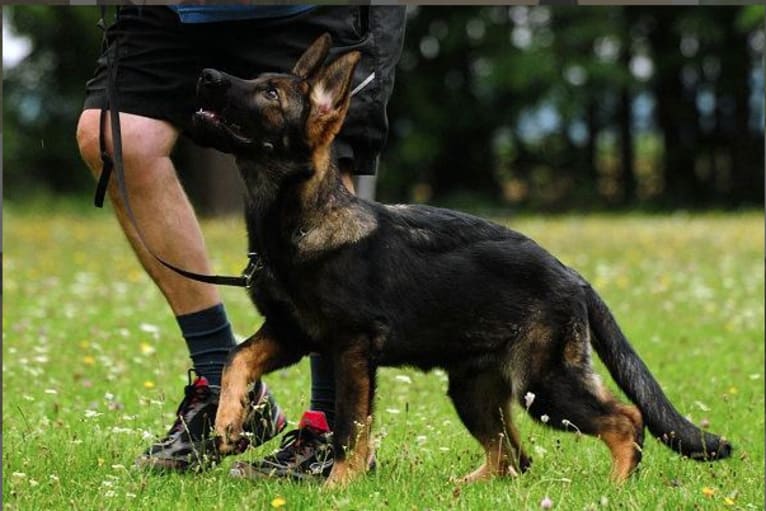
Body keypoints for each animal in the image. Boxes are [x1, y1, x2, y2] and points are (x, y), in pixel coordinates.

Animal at [192, 34, 732, 490]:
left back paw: (617, 487)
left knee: (625, 420)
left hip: (545, 386)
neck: (299, 221)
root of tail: (572, 276)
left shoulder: (350, 349)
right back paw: (462, 489)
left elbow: (349, 426)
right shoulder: (290, 333)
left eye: (271, 94)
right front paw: (227, 422)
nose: (207, 75)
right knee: (513, 458)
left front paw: (338, 486)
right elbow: (237, 359)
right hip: (474, 391)